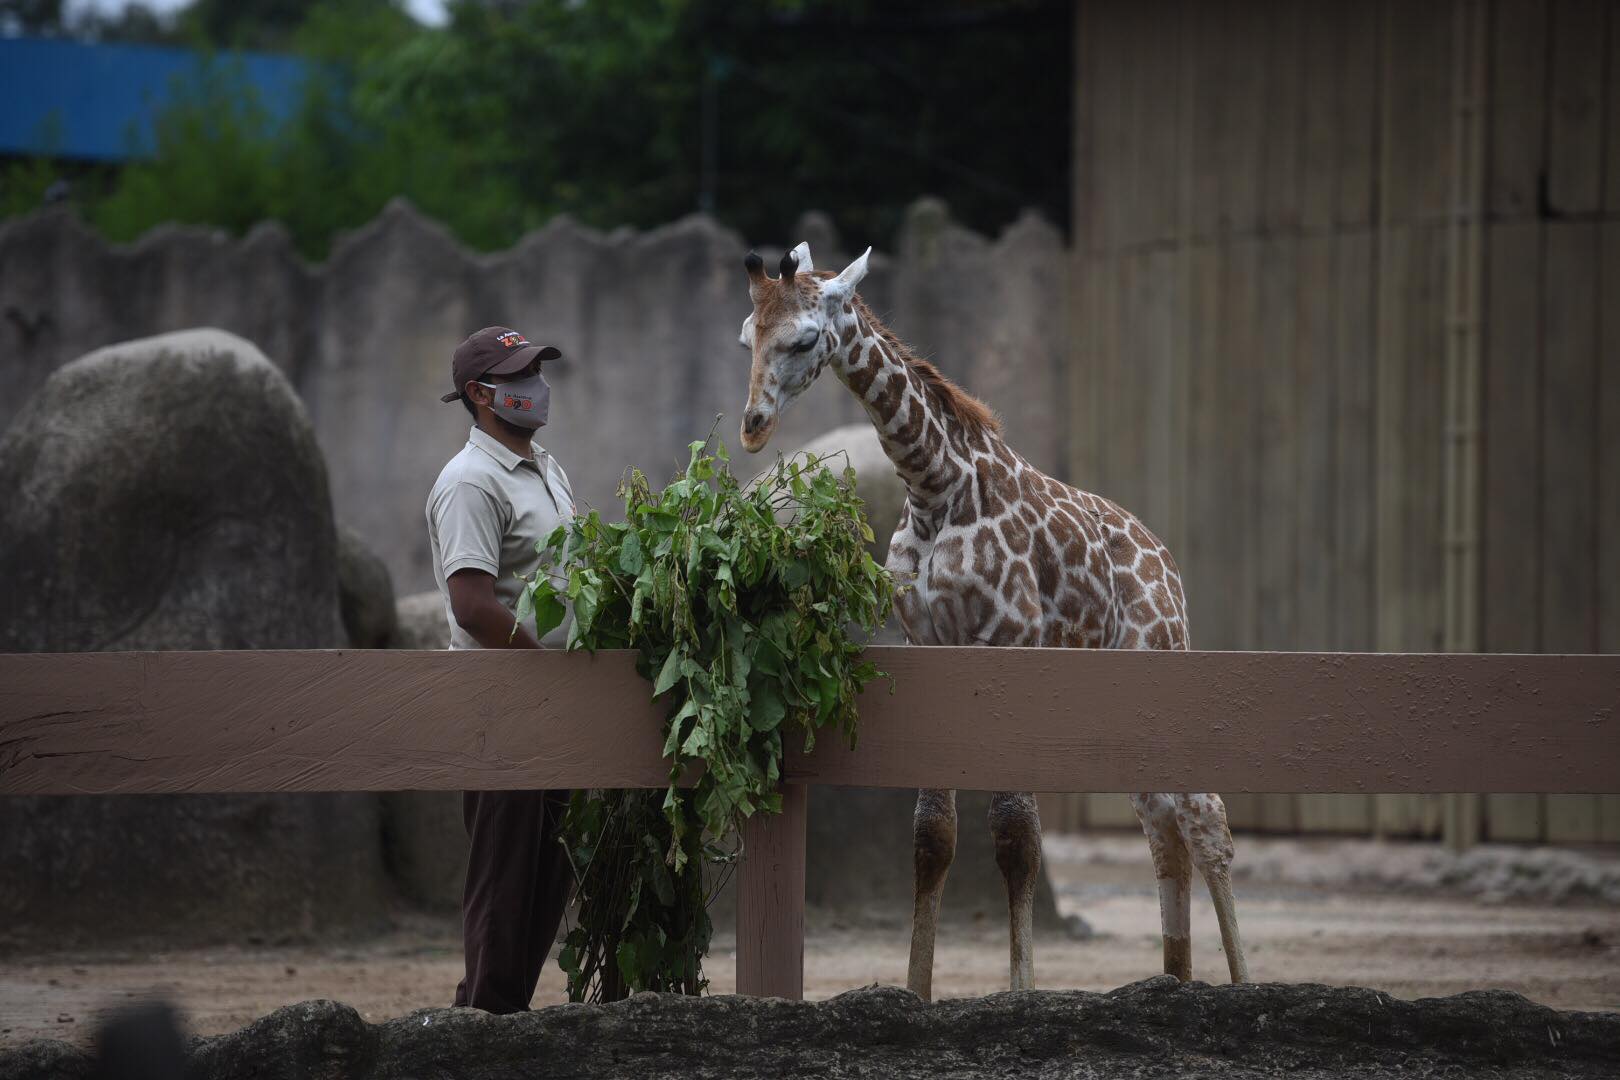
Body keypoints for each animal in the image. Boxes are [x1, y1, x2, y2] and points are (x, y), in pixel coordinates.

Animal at [735, 241, 1250, 1003]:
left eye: (803, 337)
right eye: (748, 336)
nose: (753, 427)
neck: (933, 488)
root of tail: (1167, 566)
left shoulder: (1010, 640)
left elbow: (1015, 835)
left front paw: (1021, 988)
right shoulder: (930, 647)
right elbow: (932, 834)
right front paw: (915, 990)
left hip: (1164, 655)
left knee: (1204, 813)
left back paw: (1241, 982)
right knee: (1162, 821)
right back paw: (1174, 979)